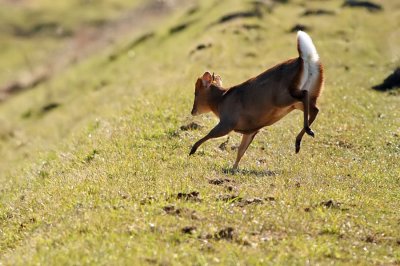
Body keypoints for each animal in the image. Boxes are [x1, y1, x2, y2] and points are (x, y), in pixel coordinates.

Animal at [189, 30, 324, 168]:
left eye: (196, 93)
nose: (192, 111)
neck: (220, 101)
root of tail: (303, 59)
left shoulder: (228, 122)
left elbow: (211, 133)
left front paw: (192, 150)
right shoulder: (251, 130)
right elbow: (241, 150)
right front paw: (234, 168)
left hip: (283, 98)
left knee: (305, 95)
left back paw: (307, 132)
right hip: (301, 98)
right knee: (314, 108)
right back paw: (299, 142)